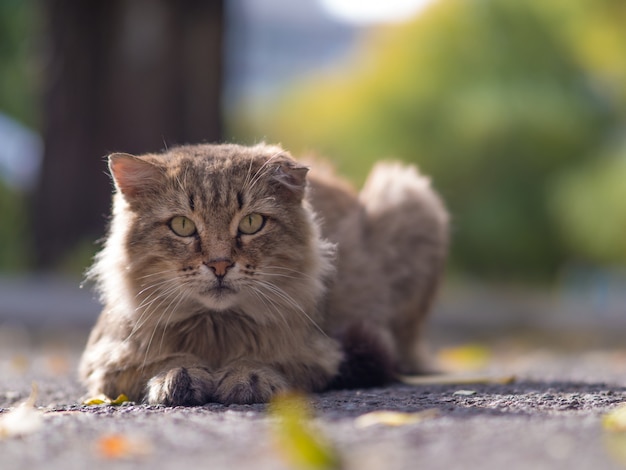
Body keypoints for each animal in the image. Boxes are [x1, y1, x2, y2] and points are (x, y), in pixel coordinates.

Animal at [79, 142, 448, 404]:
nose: (219, 264)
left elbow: (269, 361)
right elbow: (160, 360)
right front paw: (179, 373)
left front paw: (247, 374)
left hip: (409, 196)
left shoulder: (321, 353)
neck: (217, 328)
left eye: (251, 223)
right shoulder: (103, 360)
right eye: (182, 226)